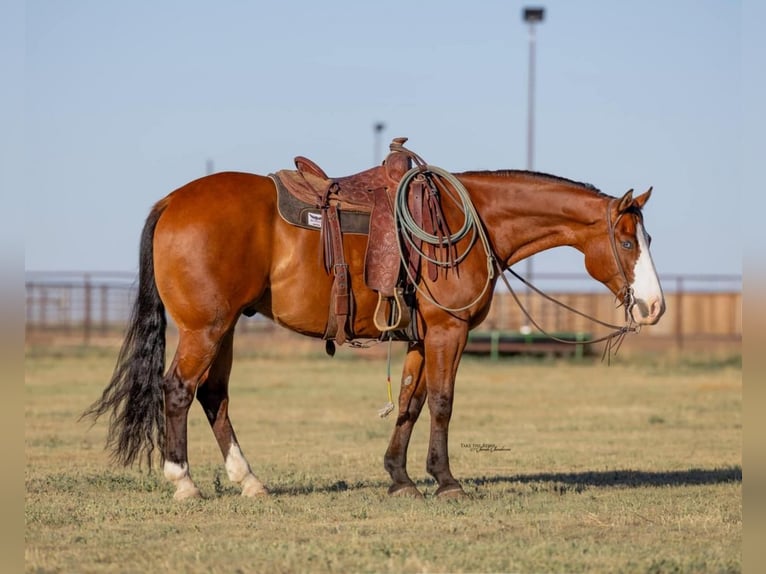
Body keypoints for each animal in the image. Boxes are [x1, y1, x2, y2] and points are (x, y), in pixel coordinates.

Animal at [84, 142, 664, 502]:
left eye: (648, 238)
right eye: (627, 241)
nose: (655, 307)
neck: (468, 219)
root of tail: (172, 201)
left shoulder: (422, 337)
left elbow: (409, 403)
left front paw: (400, 478)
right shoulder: (449, 332)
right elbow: (443, 403)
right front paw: (446, 481)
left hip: (223, 329)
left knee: (213, 397)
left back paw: (249, 481)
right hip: (204, 329)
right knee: (179, 390)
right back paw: (184, 481)